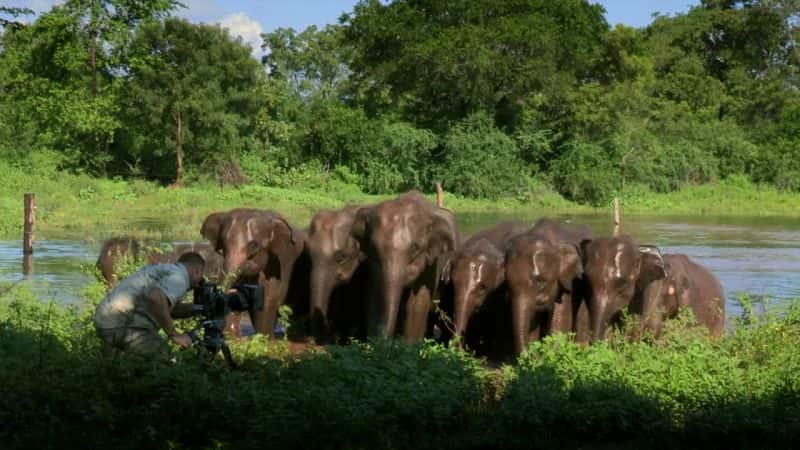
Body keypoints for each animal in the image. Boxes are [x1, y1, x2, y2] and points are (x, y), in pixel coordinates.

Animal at [354, 189, 460, 342]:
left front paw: (408, 345)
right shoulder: (373, 265)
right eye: (374, 248)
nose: (384, 339)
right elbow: (373, 296)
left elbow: (417, 303)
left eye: (416, 248)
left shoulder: (431, 263)